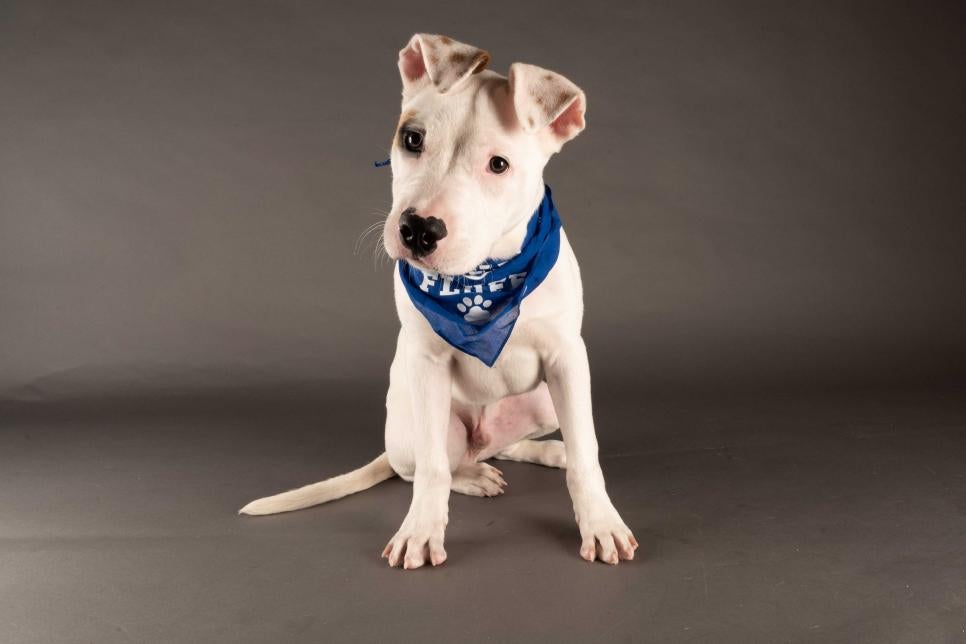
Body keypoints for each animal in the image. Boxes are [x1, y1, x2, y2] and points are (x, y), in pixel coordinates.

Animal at [240, 34, 636, 568]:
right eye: (412, 139)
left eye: (498, 165)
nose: (418, 230)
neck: (482, 278)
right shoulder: (427, 364)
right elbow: (431, 472)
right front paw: (421, 532)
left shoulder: (568, 359)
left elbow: (587, 454)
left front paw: (600, 520)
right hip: (422, 426)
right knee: (431, 464)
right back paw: (474, 476)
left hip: (545, 402)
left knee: (507, 445)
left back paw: (547, 452)